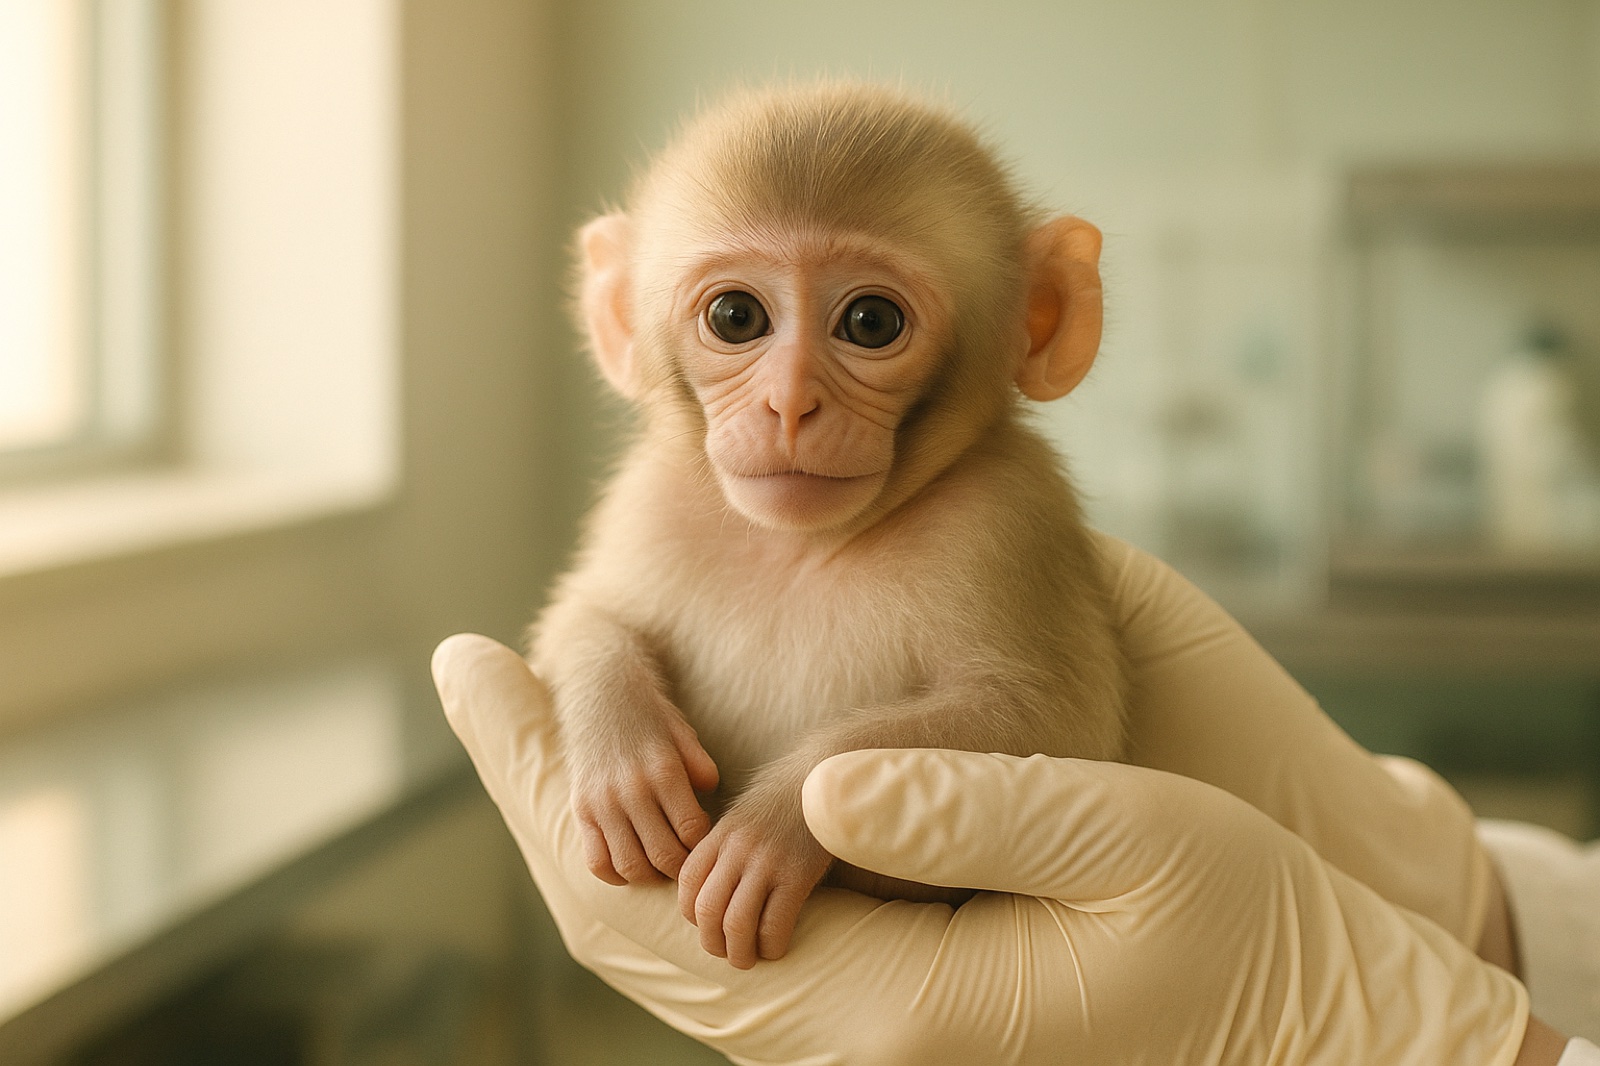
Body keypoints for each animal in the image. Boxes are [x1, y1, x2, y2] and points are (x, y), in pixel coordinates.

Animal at [529, 82, 1126, 971]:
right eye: (736, 317)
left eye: (871, 323)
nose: (789, 403)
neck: (802, 550)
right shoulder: (648, 502)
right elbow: (583, 615)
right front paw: (622, 746)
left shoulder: (1011, 516)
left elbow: (1059, 723)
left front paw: (781, 819)